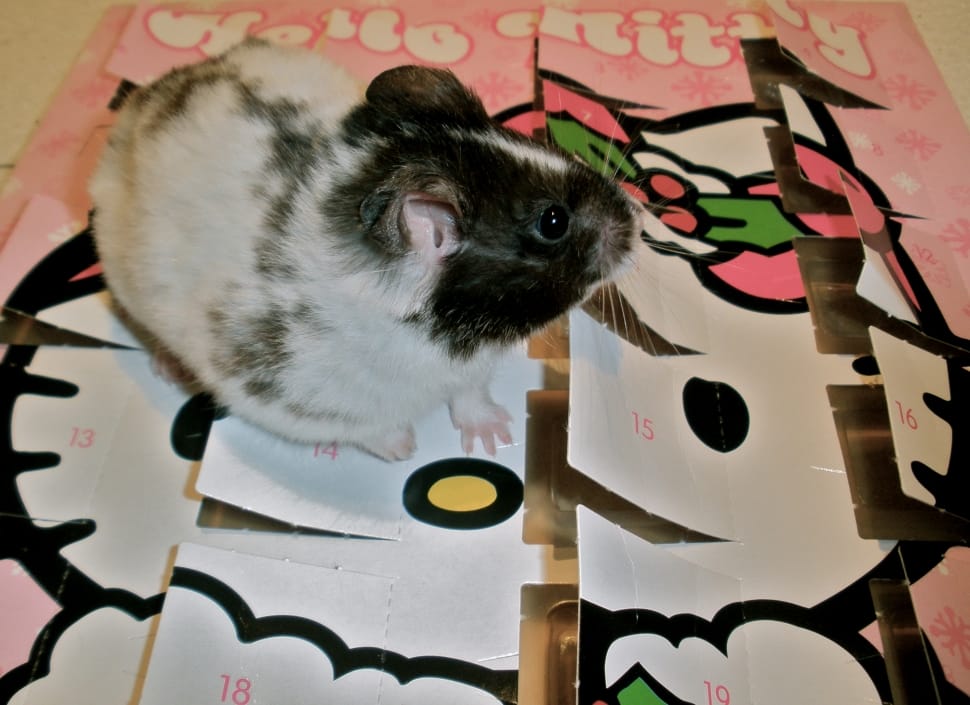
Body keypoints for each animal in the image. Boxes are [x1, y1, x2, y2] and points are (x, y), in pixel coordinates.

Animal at [89, 38, 643, 461]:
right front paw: (405, 450)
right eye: (553, 221)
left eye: (547, 145)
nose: (637, 222)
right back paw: (168, 368)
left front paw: (496, 439)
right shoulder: (283, 397)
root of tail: (137, 107)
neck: (450, 337)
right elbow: (368, 428)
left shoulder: (471, 369)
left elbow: (471, 396)